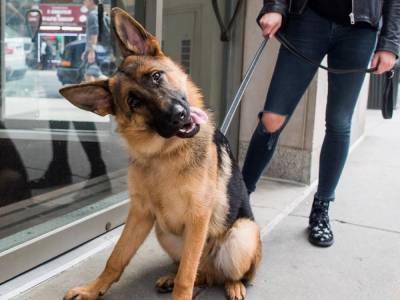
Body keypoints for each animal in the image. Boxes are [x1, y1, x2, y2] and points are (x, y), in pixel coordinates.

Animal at [61, 7, 260, 300]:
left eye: (156, 77)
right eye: (134, 102)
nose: (178, 116)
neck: (165, 154)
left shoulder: (198, 218)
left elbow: (186, 276)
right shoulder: (140, 213)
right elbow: (116, 258)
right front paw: (92, 289)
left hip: (241, 234)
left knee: (225, 273)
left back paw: (234, 285)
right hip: (164, 231)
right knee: (198, 271)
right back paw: (172, 277)